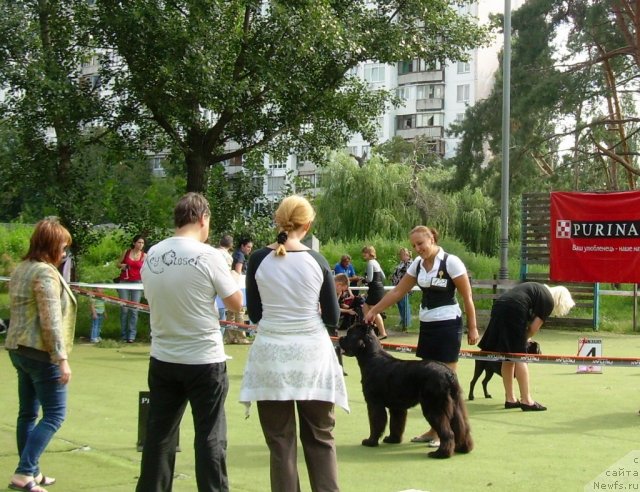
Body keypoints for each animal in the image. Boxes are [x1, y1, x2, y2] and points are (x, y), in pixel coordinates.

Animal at [338, 324, 472, 460]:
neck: (371, 357)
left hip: (434, 406)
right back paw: (463, 448)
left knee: (448, 432)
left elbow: (376, 423)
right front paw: (393, 439)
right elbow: (396, 423)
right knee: (462, 427)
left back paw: (440, 454)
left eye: (350, 334)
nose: (340, 338)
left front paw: (370, 441)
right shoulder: (397, 406)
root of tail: (449, 374)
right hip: (456, 405)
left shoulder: (374, 403)